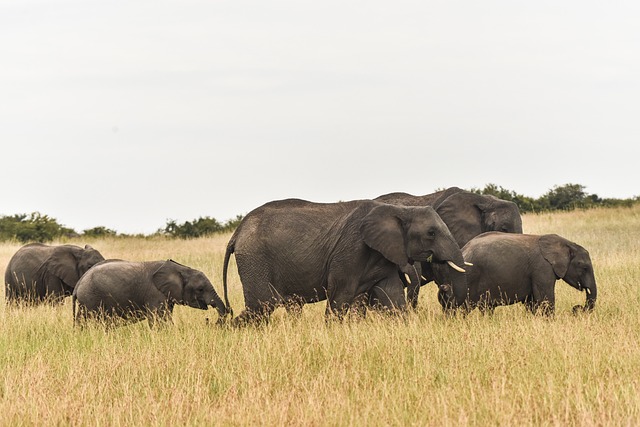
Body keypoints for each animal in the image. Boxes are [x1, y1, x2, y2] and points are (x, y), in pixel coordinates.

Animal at [73, 258, 230, 328]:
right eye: (200, 289)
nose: (208, 320)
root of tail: (79, 284)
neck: (181, 269)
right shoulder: (155, 294)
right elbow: (158, 319)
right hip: (91, 299)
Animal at [222, 199, 468, 326]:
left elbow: (393, 298)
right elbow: (340, 296)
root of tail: (236, 233)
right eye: (431, 233)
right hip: (255, 260)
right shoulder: (351, 250)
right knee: (261, 307)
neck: (398, 209)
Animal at [438, 232, 596, 316]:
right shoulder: (542, 268)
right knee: (465, 306)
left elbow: (532, 302)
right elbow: (545, 299)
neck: (567, 244)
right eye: (584, 267)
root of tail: (463, 250)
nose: (576, 308)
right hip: (470, 278)